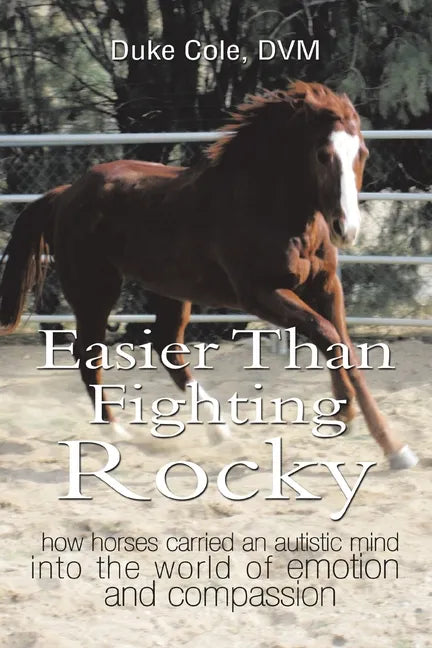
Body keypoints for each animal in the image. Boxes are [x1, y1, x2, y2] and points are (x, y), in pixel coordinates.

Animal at [0, 81, 417, 468]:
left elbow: (345, 348)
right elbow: (327, 335)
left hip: (169, 289)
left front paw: (393, 448)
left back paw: (221, 433)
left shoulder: (326, 286)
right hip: (95, 290)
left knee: (167, 347)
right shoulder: (260, 294)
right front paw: (345, 415)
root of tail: (66, 193)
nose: (346, 228)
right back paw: (118, 431)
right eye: (322, 154)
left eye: (362, 153)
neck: (270, 208)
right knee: (88, 353)